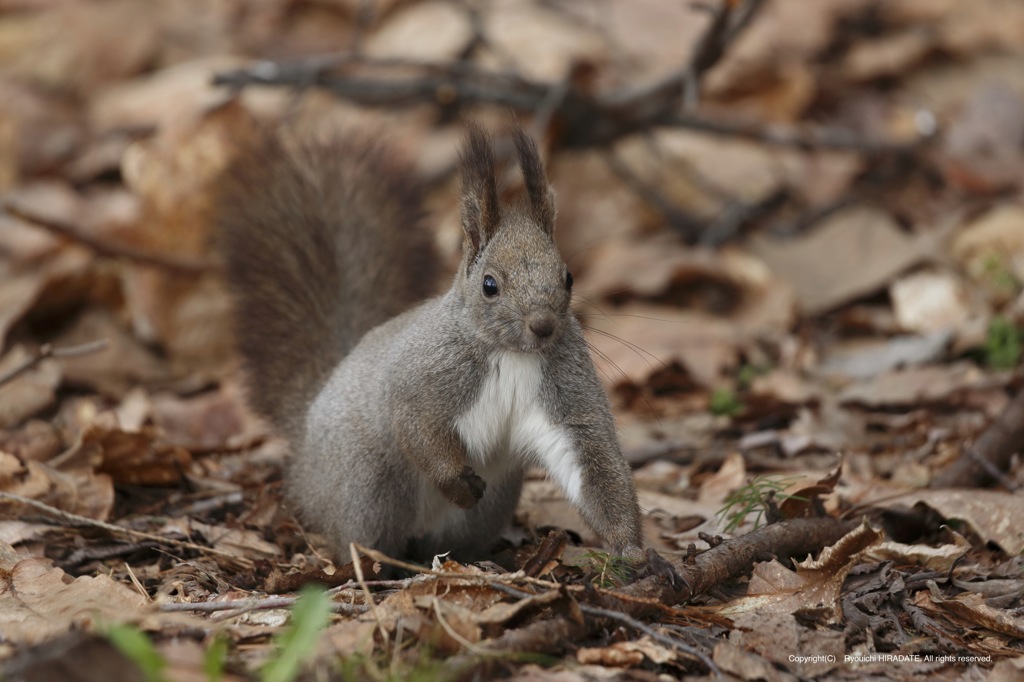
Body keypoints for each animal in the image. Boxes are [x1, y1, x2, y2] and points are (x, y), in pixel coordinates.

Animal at [217, 120, 667, 569]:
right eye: (489, 285)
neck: (512, 354)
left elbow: (591, 462)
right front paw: (457, 484)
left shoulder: (568, 396)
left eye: (568, 278)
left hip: (490, 504)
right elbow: (416, 427)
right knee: (361, 534)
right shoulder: (421, 380)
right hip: (366, 487)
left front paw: (634, 550)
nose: (543, 326)